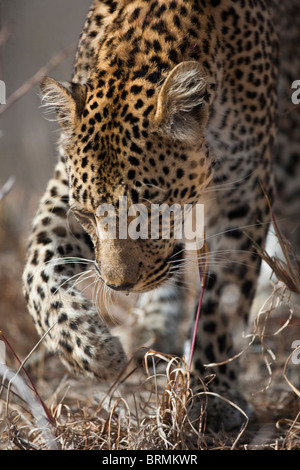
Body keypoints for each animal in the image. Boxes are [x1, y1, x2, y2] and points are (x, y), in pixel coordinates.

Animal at [22, 0, 300, 430]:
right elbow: (38, 263)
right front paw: (93, 351)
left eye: (150, 206)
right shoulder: (64, 183)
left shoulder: (245, 189)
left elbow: (224, 298)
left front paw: (213, 397)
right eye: (86, 214)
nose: (119, 286)